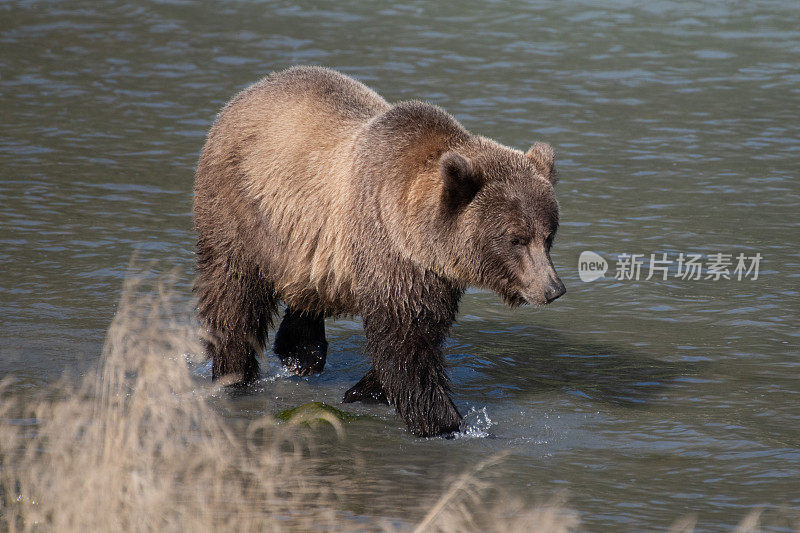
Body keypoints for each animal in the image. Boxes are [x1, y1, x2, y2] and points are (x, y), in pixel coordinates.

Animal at [195, 65, 564, 436]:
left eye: (548, 235)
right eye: (516, 239)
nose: (552, 289)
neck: (419, 237)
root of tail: (245, 94)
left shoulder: (432, 275)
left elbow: (422, 332)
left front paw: (366, 390)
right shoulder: (389, 249)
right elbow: (406, 345)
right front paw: (446, 422)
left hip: (305, 245)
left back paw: (301, 353)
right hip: (241, 211)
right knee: (234, 296)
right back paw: (234, 374)